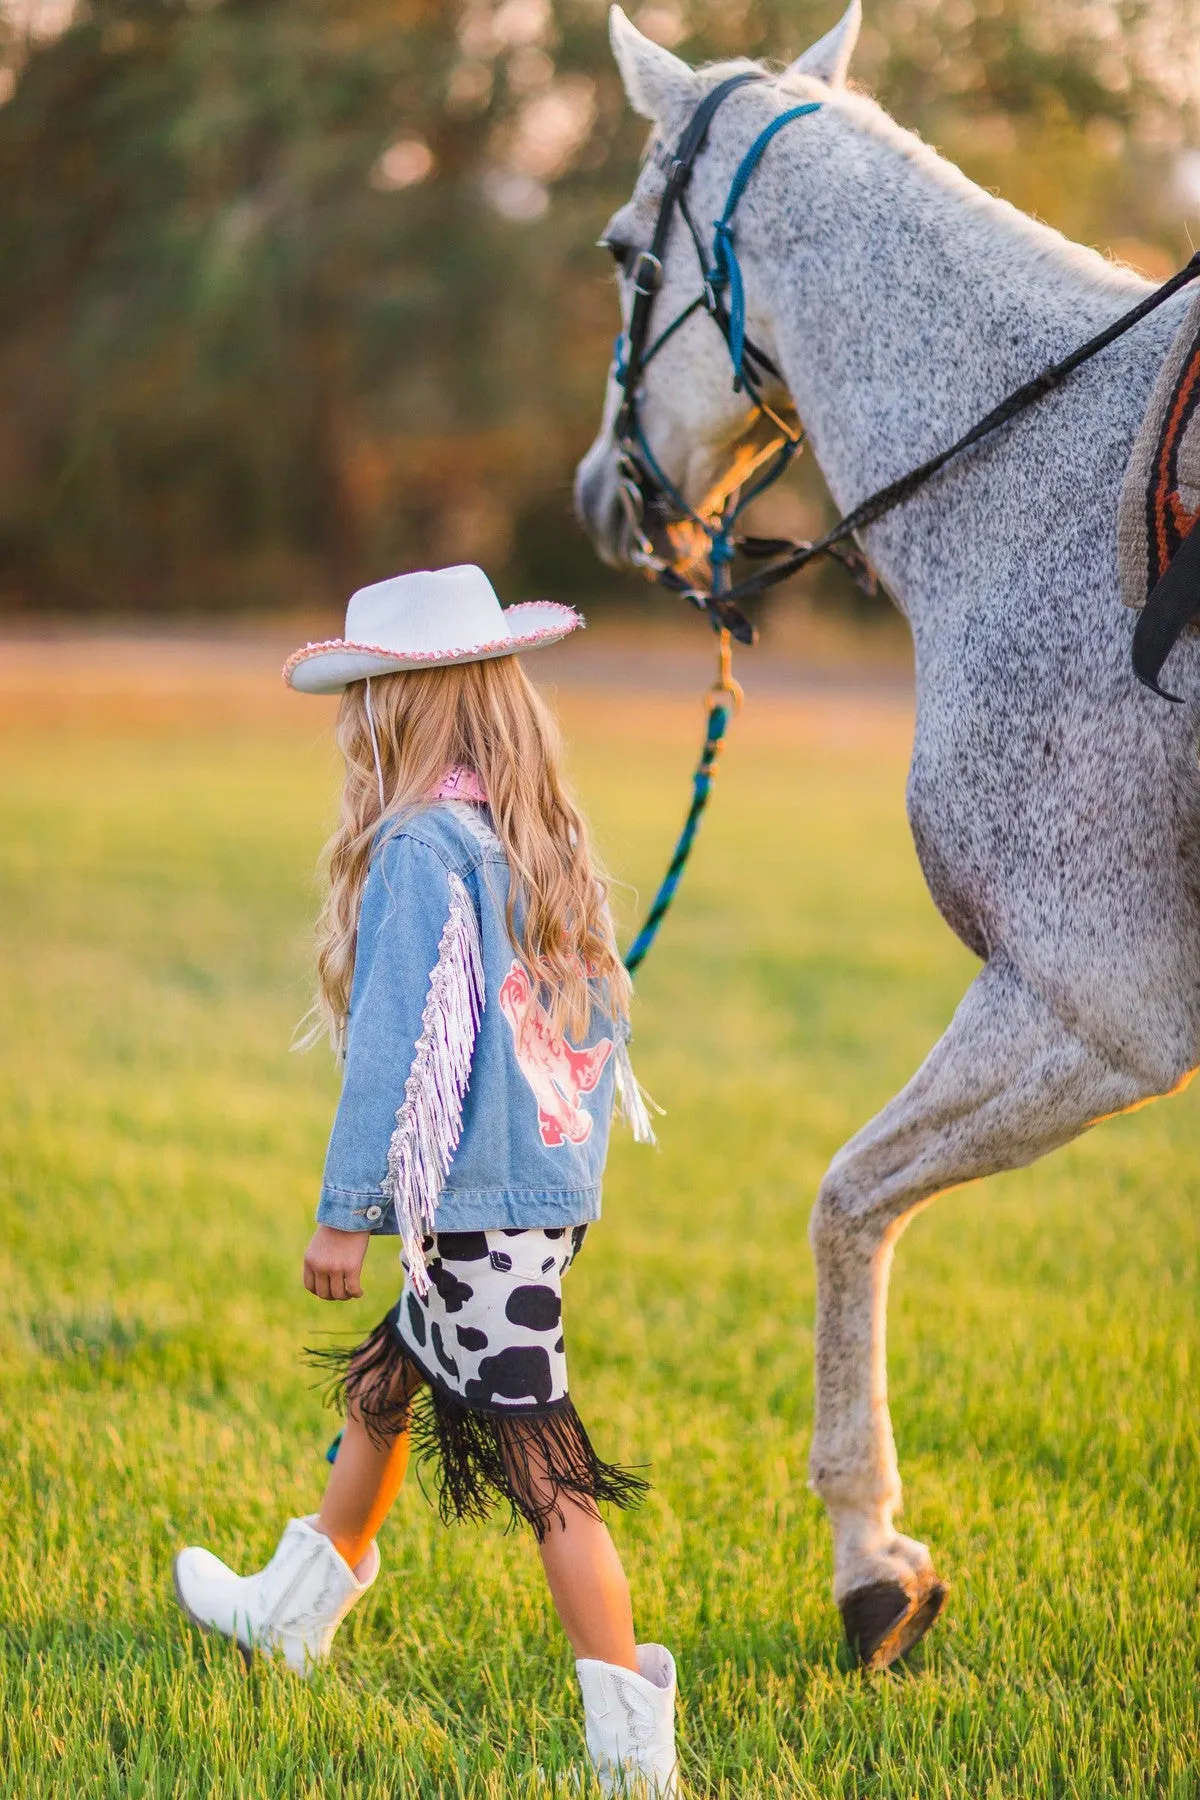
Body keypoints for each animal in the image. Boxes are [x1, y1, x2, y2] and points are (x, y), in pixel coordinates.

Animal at [575, 0, 1200, 1663]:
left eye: (619, 248)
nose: (602, 495)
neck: (1034, 479)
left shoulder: (1094, 1004)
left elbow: (847, 1204)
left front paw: (870, 1563)